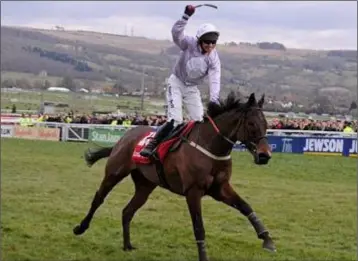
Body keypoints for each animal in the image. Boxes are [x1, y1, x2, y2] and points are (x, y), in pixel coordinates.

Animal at [72, 92, 276, 260]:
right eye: (251, 124)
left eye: (266, 124)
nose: (265, 155)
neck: (210, 147)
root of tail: (124, 137)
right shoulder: (193, 191)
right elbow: (199, 227)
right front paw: (203, 257)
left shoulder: (220, 188)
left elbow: (246, 207)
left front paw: (267, 239)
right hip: (115, 172)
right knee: (99, 198)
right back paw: (81, 227)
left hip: (145, 185)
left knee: (128, 211)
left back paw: (127, 245)